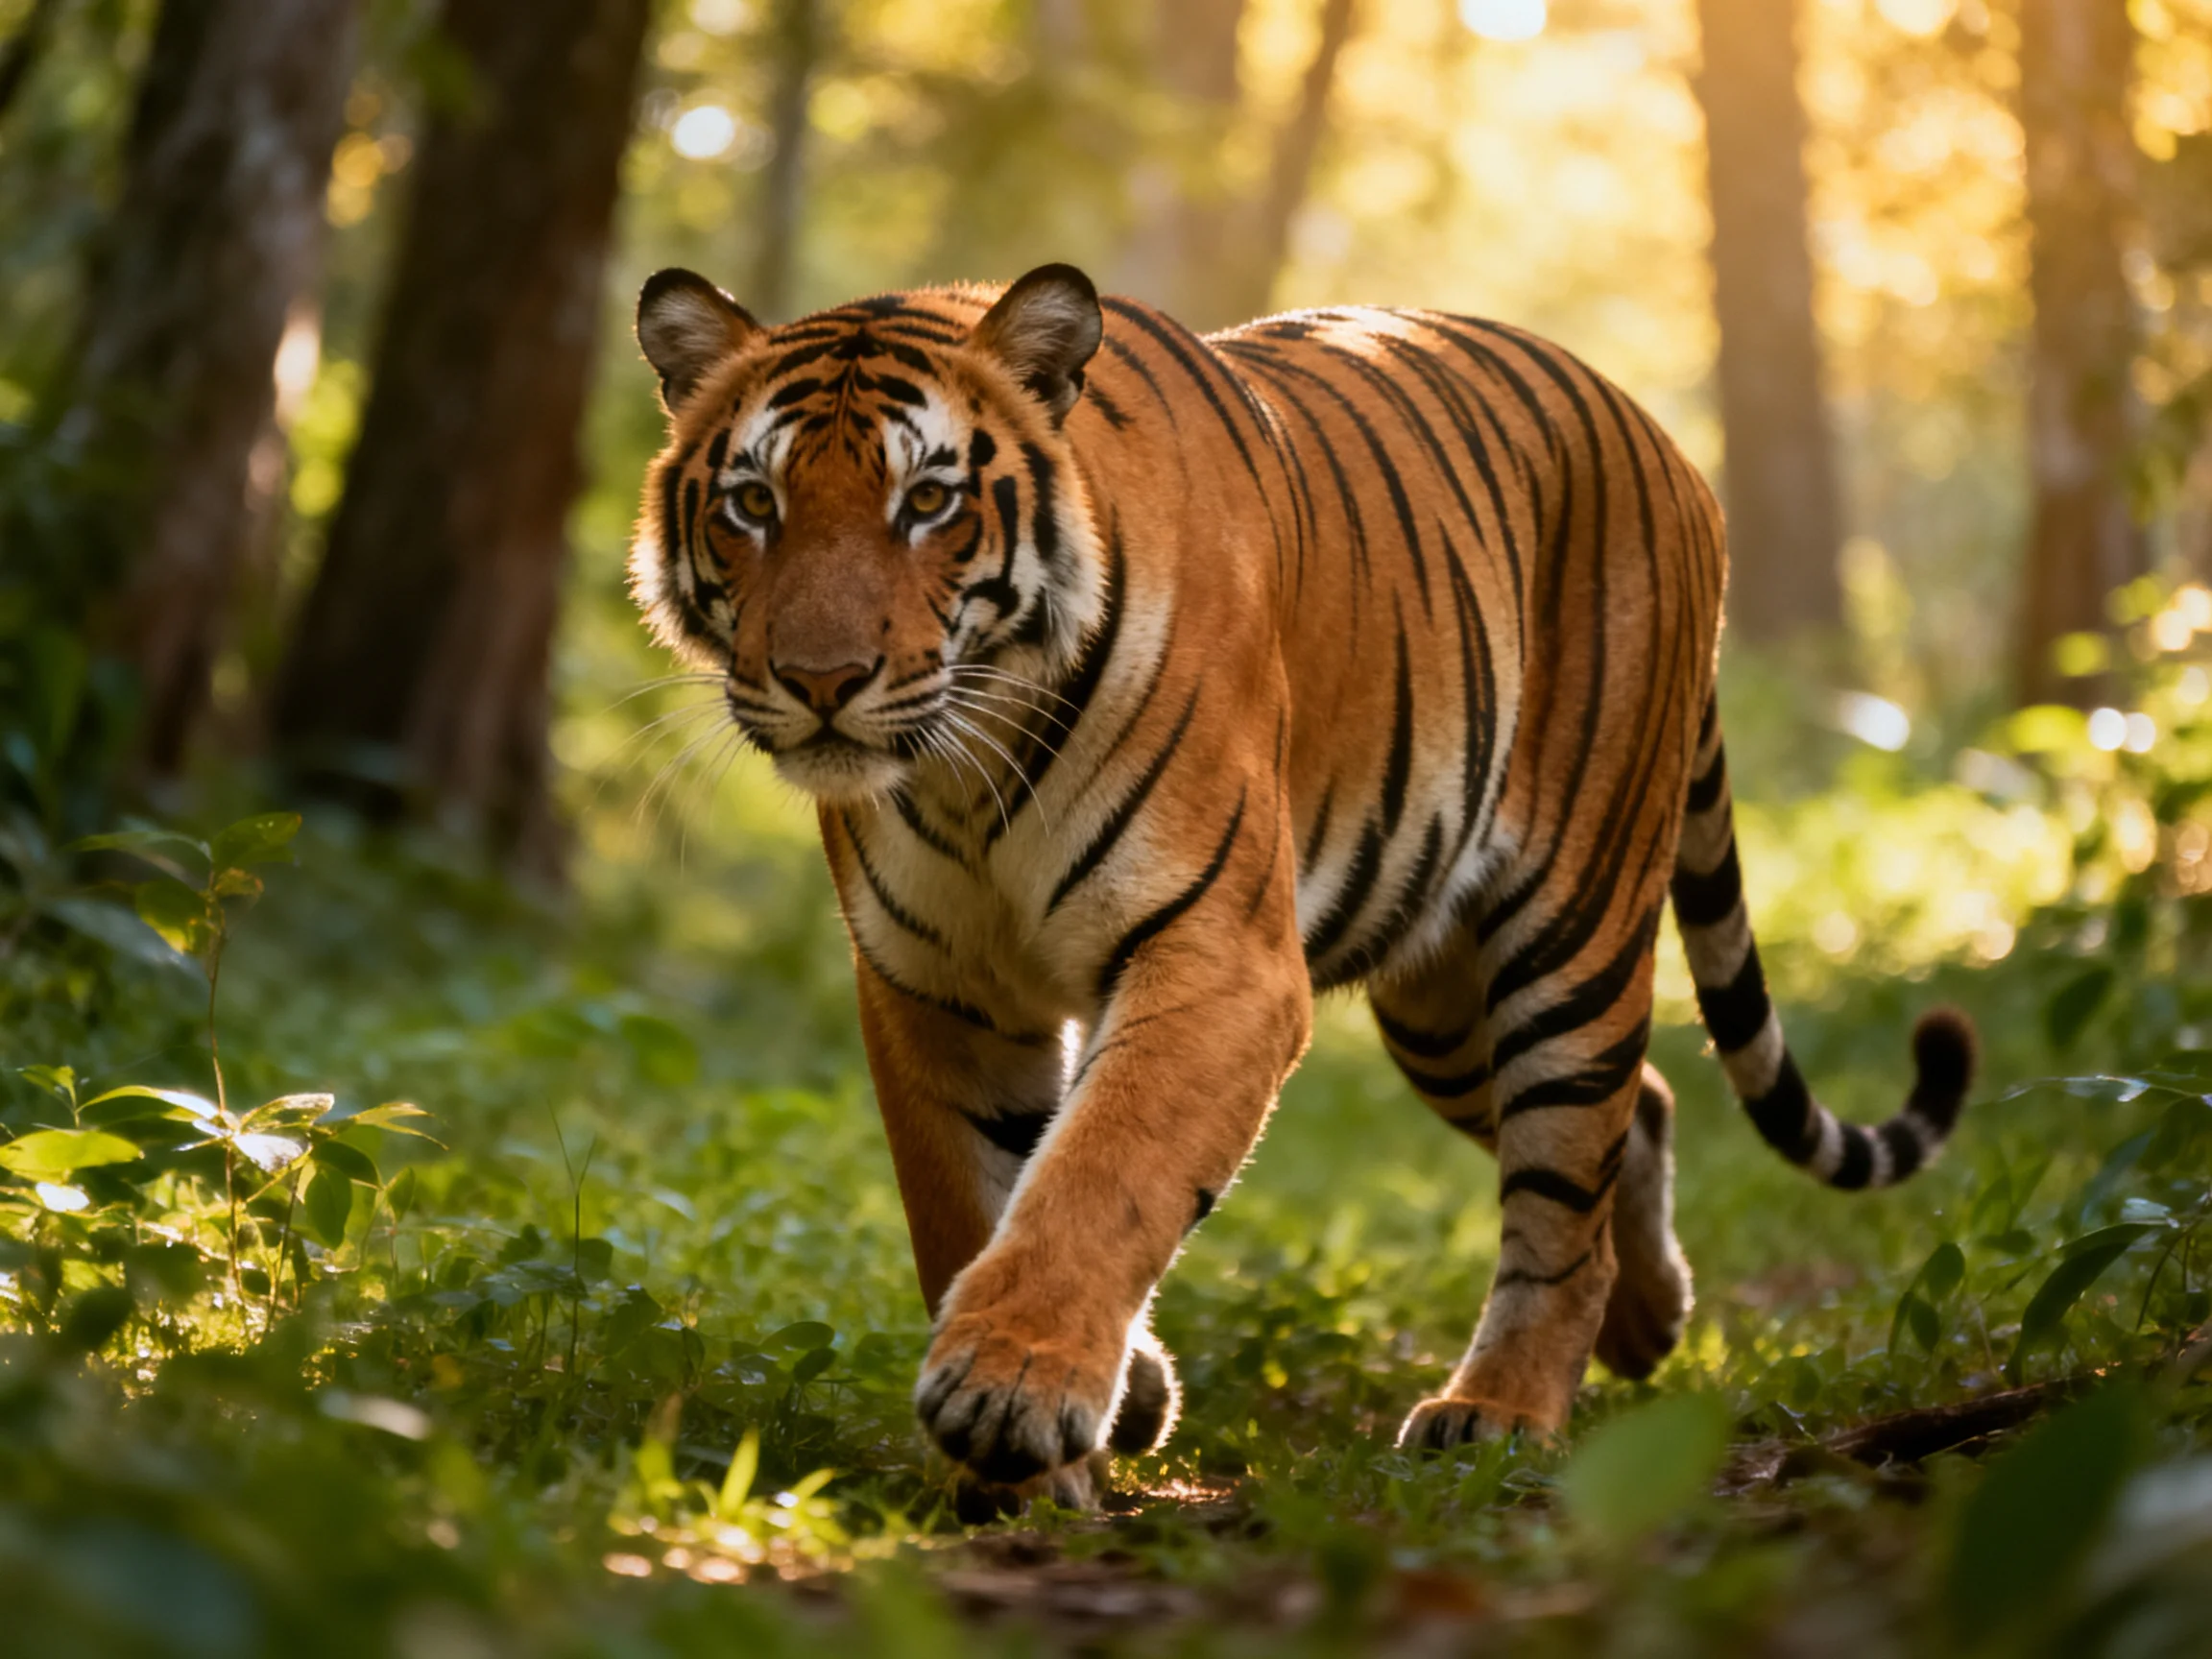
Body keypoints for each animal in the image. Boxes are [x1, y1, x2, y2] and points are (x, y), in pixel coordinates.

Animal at [628, 261, 1976, 1510]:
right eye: (753, 503)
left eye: (928, 502)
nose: (821, 681)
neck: (972, 772)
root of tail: (1658, 435)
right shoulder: (937, 988)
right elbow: (969, 1196)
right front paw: (1059, 1443)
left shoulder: (1218, 957)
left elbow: (1101, 1169)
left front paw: (1009, 1389)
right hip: (1442, 1005)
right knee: (1632, 1115)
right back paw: (1648, 1326)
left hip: (1571, 931)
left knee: (1563, 1195)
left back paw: (1499, 1412)